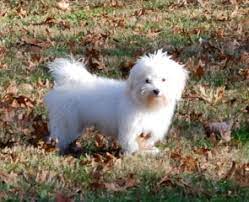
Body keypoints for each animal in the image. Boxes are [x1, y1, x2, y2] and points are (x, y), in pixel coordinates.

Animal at [44, 49, 188, 154]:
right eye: (147, 80)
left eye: (164, 79)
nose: (156, 90)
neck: (147, 104)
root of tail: (66, 82)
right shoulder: (130, 126)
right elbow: (130, 141)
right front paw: (132, 152)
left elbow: (145, 140)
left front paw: (148, 150)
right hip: (66, 119)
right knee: (60, 132)